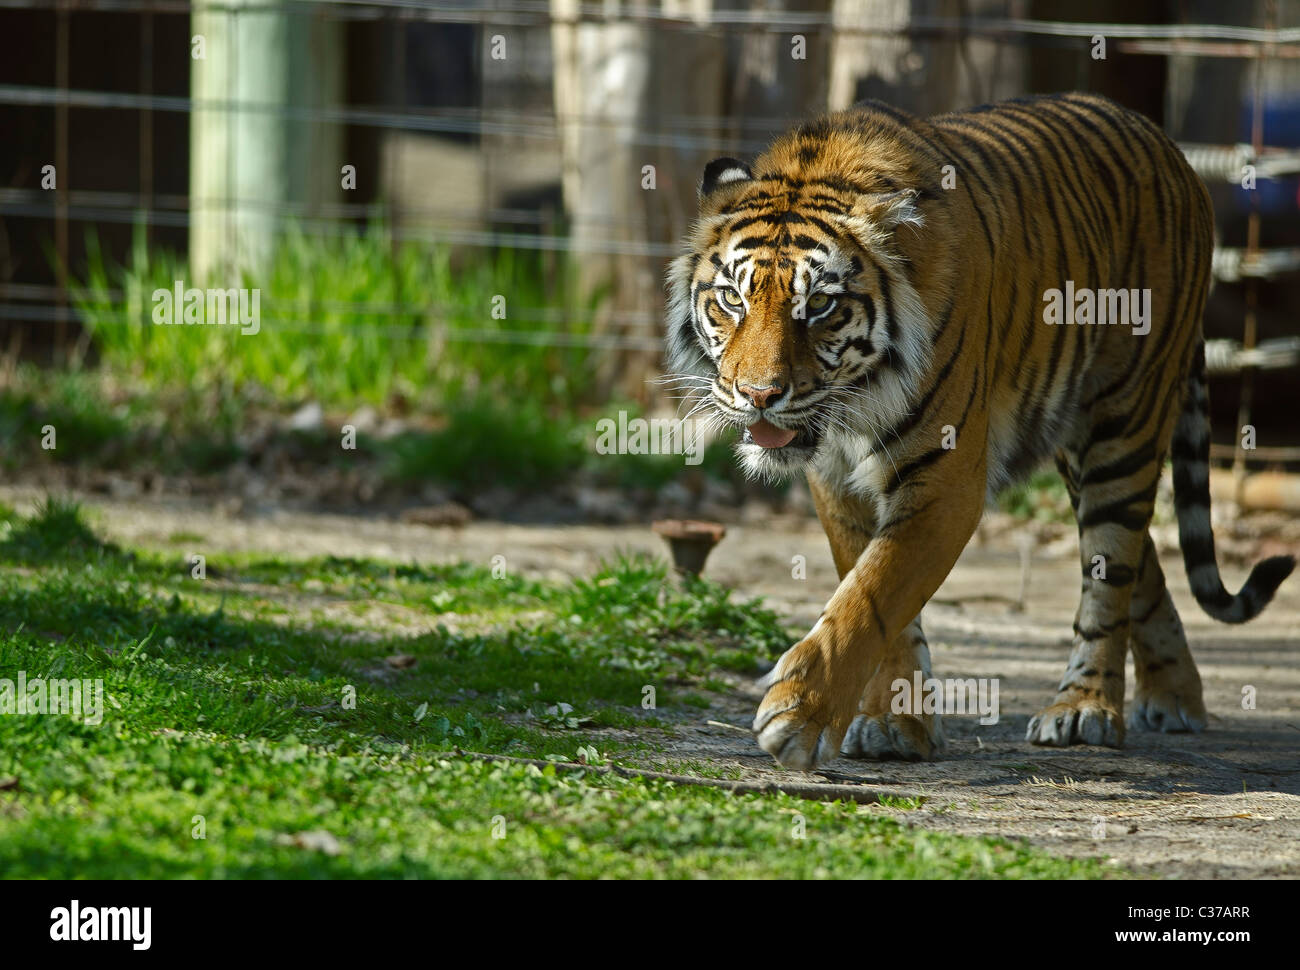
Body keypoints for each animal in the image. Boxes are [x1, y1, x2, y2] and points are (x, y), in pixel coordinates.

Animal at [665, 92, 1294, 769]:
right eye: (732, 299)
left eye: (822, 306)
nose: (758, 396)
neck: (855, 402)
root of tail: (1169, 146)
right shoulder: (835, 482)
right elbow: (875, 592)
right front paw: (896, 721)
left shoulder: (944, 482)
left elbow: (871, 595)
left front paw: (799, 714)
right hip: (1075, 438)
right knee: (1140, 556)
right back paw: (1176, 694)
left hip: (1125, 420)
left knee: (1112, 569)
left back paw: (1085, 709)